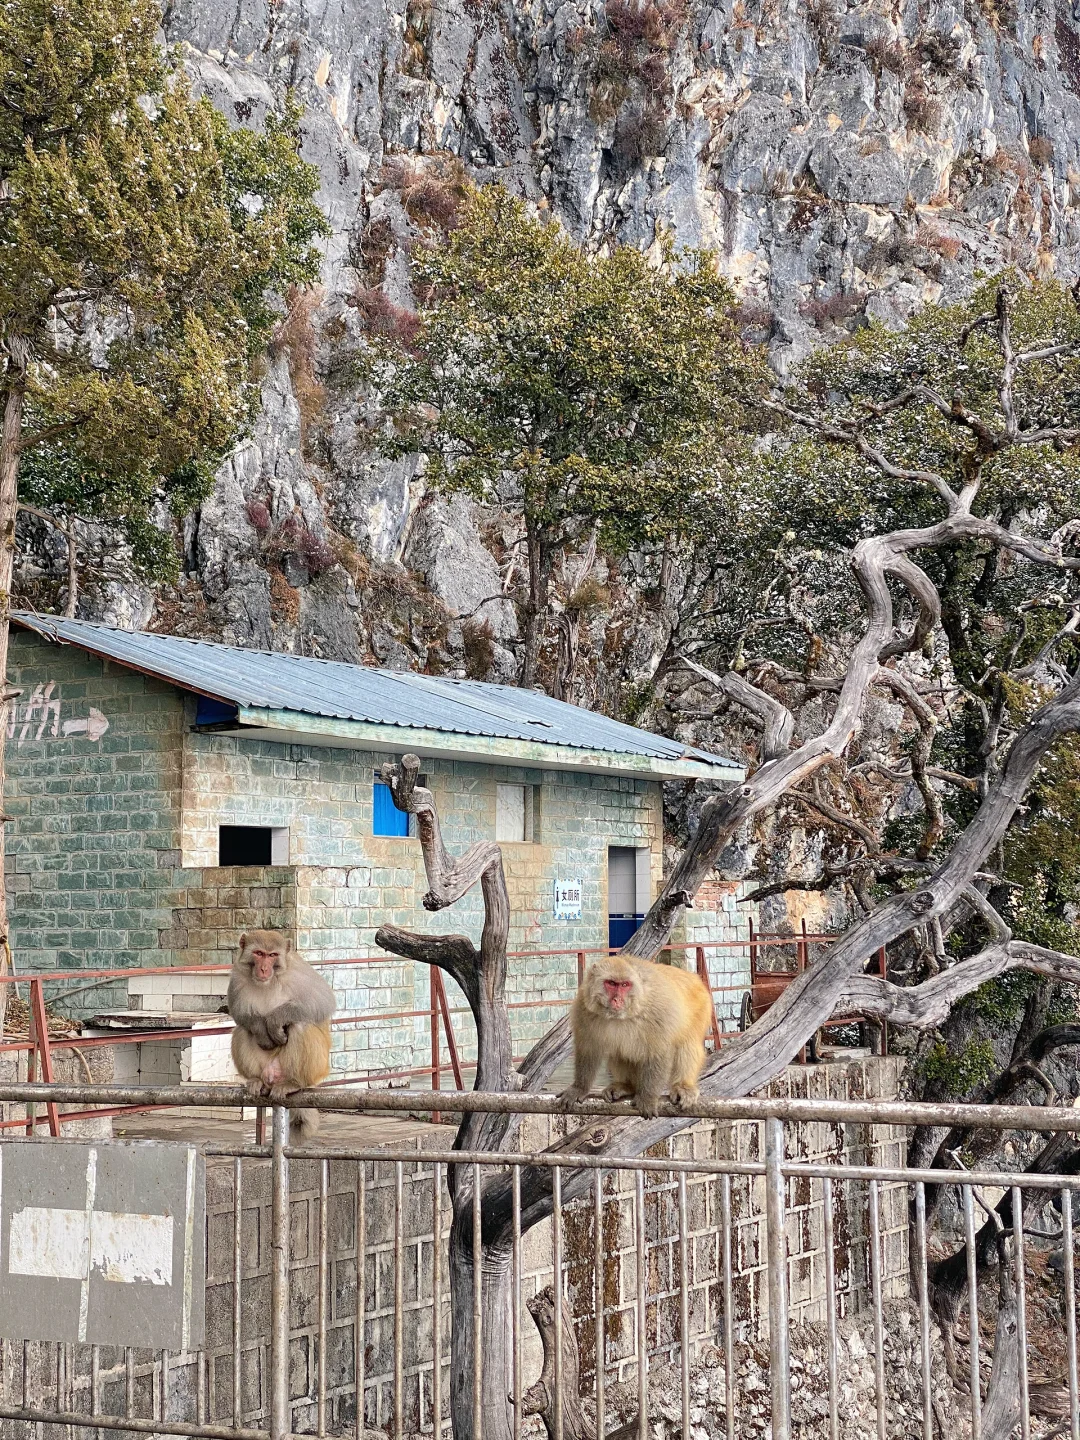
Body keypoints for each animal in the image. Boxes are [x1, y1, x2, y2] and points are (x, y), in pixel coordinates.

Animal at [224, 933, 334, 1134]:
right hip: (264, 1068)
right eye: (259, 953)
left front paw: (275, 1020)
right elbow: (239, 1013)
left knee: (300, 1026)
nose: (263, 968)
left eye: (272, 955)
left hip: (317, 1068)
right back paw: (256, 1080)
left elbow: (322, 1003)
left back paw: (295, 1083)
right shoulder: (237, 976)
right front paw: (261, 1029)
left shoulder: (299, 973)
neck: (270, 981)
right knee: (242, 1030)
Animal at [558, 956, 720, 1123]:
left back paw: (683, 1086)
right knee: (619, 1051)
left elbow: (658, 1052)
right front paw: (579, 1088)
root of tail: (693, 977)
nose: (617, 1000)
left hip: (701, 1007)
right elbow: (588, 1048)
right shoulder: (584, 1008)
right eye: (611, 983)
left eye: (625, 985)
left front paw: (648, 1098)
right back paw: (626, 1086)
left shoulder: (657, 1012)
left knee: (687, 1044)